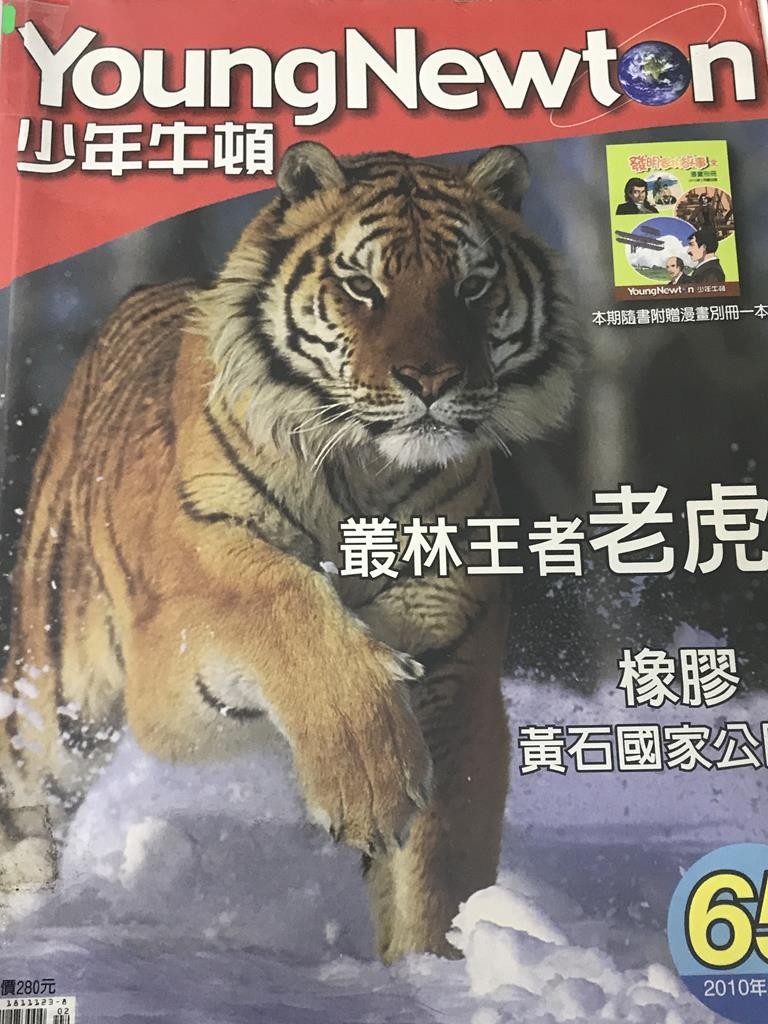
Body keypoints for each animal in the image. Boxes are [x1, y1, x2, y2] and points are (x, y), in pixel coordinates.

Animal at [0, 142, 576, 961]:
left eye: (472, 287)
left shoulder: (455, 667)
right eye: (363, 286)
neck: (367, 471)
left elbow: (440, 862)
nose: (432, 381)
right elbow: (282, 602)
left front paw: (430, 966)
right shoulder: (182, 636)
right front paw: (369, 780)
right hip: (57, 691)